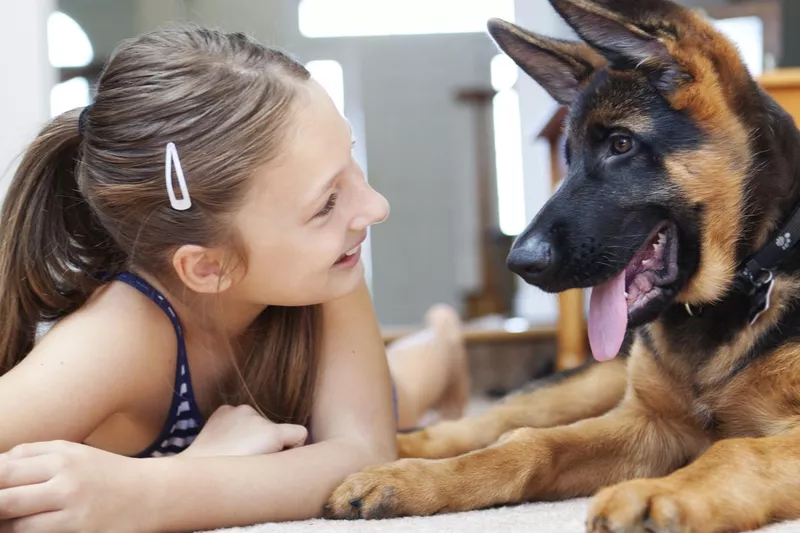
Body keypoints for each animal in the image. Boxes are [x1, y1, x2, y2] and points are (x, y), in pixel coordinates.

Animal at [324, 0, 800, 528]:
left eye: (621, 145)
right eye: (566, 157)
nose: (519, 262)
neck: (750, 280)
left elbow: (738, 451)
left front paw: (656, 494)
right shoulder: (646, 422)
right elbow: (530, 443)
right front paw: (414, 480)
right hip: (591, 382)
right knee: (495, 420)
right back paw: (395, 451)